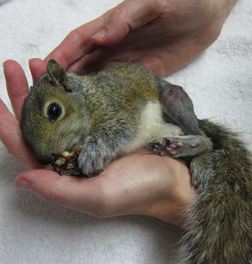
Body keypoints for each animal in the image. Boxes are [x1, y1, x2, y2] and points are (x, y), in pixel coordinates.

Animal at [21, 59, 252, 264]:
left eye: (54, 110)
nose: (44, 158)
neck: (90, 100)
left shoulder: (120, 108)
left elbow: (117, 132)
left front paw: (92, 152)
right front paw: (71, 167)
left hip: (173, 98)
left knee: (206, 140)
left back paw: (195, 156)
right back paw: (170, 146)